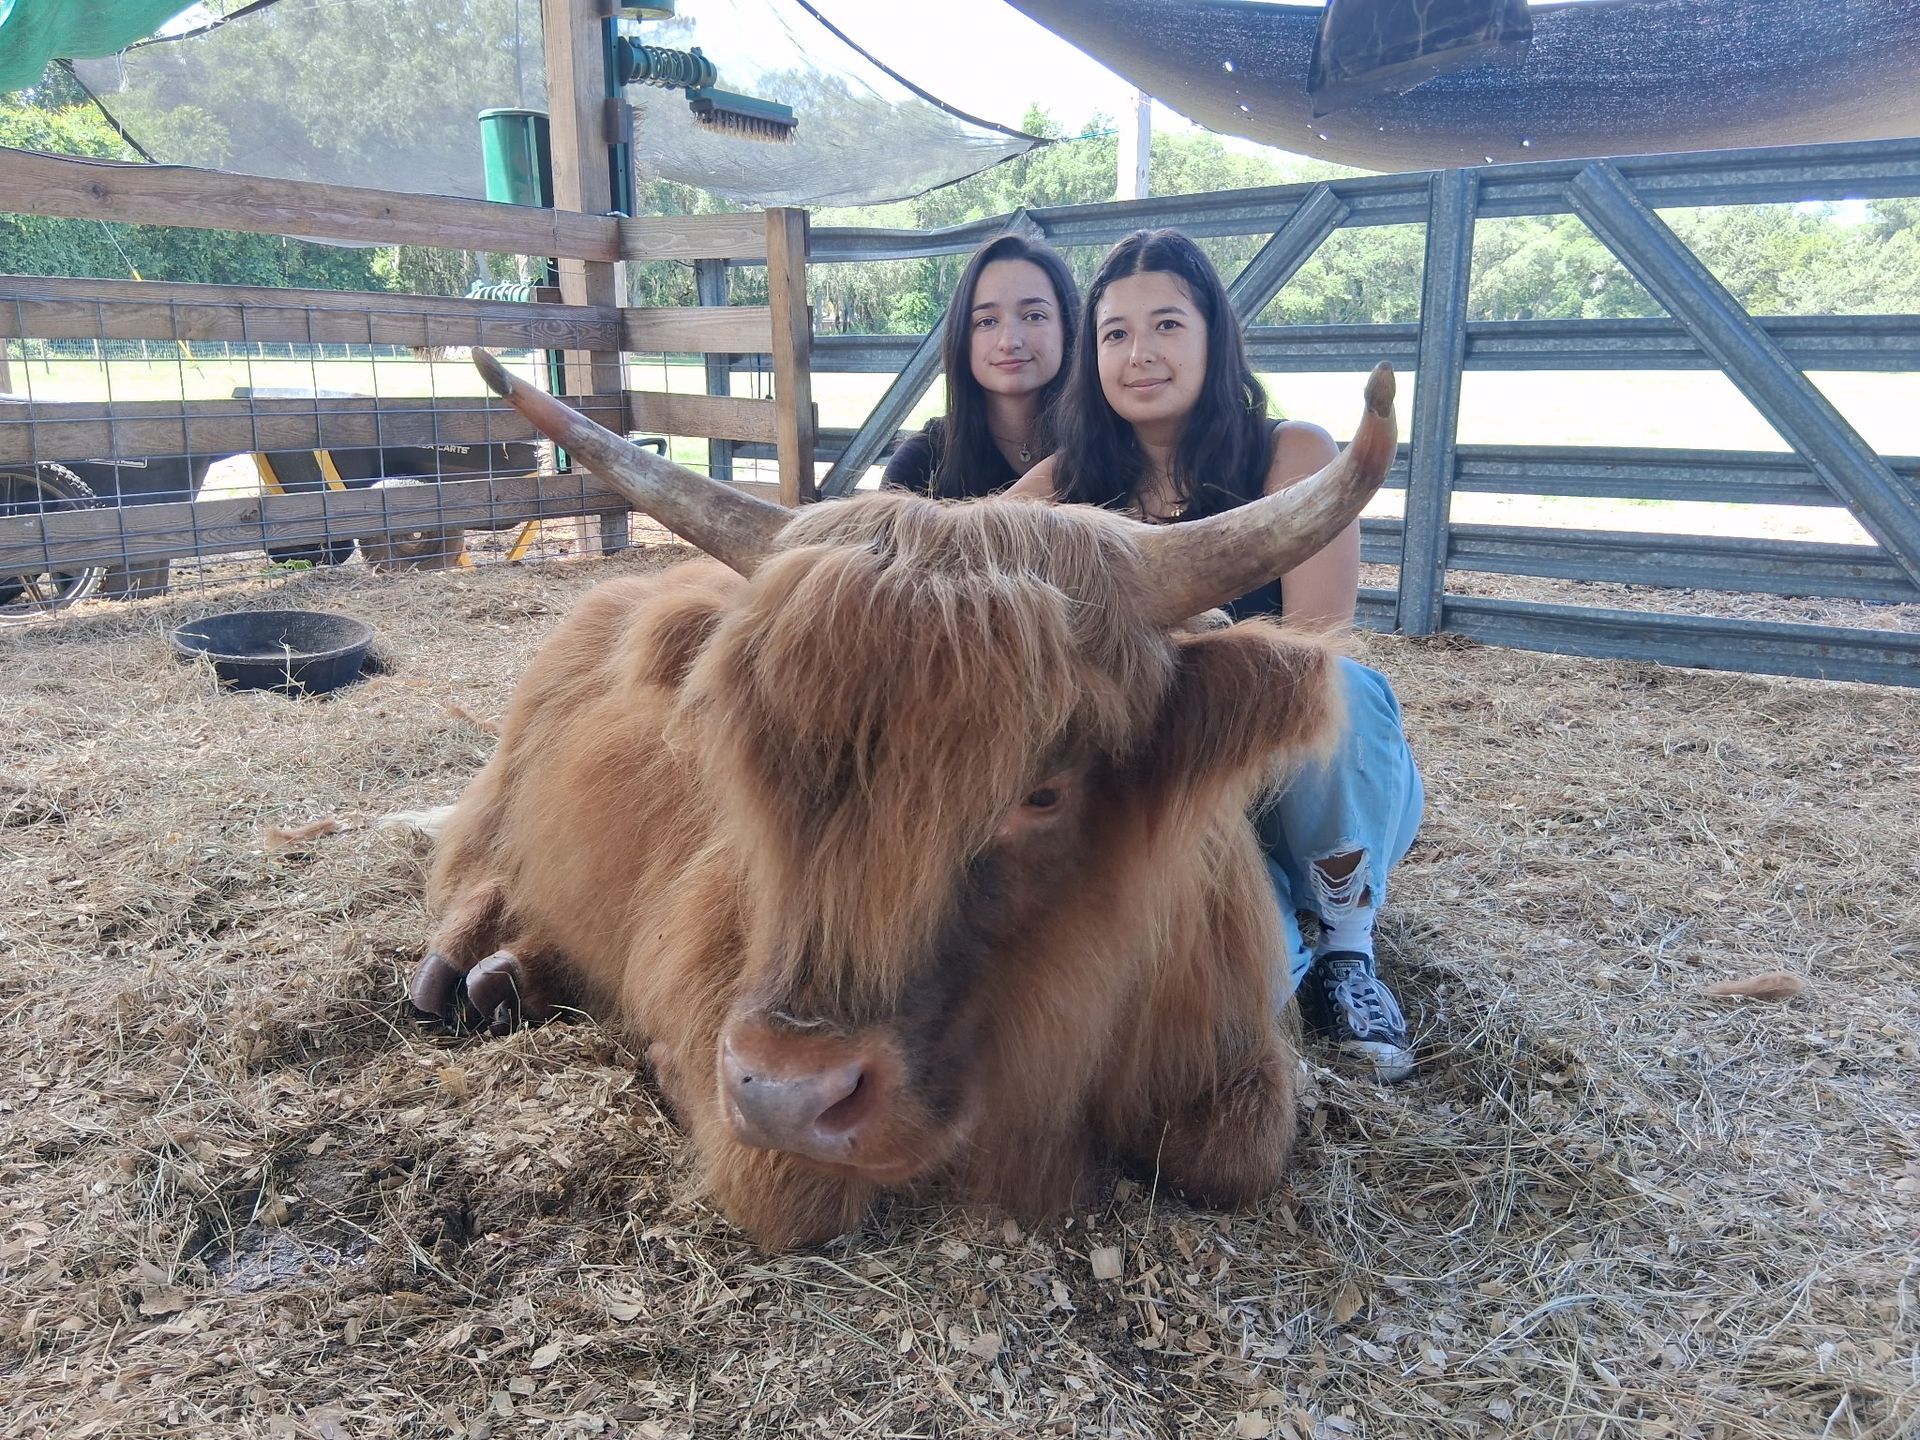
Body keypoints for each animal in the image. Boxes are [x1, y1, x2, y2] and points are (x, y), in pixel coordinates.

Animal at [409, 350, 1397, 1249]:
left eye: (1041, 792)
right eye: (750, 766)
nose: (786, 1094)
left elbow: (1236, 1155)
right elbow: (791, 1193)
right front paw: (664, 1064)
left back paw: (509, 978)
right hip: (500, 802)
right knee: (473, 873)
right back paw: (459, 970)